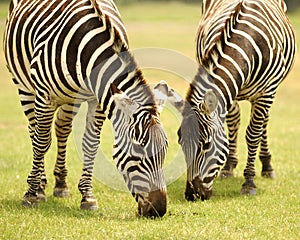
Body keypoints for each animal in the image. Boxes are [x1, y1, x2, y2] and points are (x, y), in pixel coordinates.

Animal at [4, 0, 168, 218]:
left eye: (165, 150)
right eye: (137, 152)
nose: (159, 210)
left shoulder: (97, 99)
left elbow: (90, 144)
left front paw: (88, 197)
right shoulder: (45, 96)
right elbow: (42, 142)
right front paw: (31, 194)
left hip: (69, 98)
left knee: (62, 129)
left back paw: (61, 184)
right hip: (25, 87)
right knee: (36, 134)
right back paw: (39, 186)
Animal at [159, 0, 296, 201]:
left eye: (206, 145)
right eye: (181, 143)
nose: (192, 195)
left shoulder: (267, 91)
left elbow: (253, 134)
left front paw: (249, 182)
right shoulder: (229, 92)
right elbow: (233, 124)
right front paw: (229, 166)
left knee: (264, 122)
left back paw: (267, 166)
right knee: (236, 121)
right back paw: (229, 166)